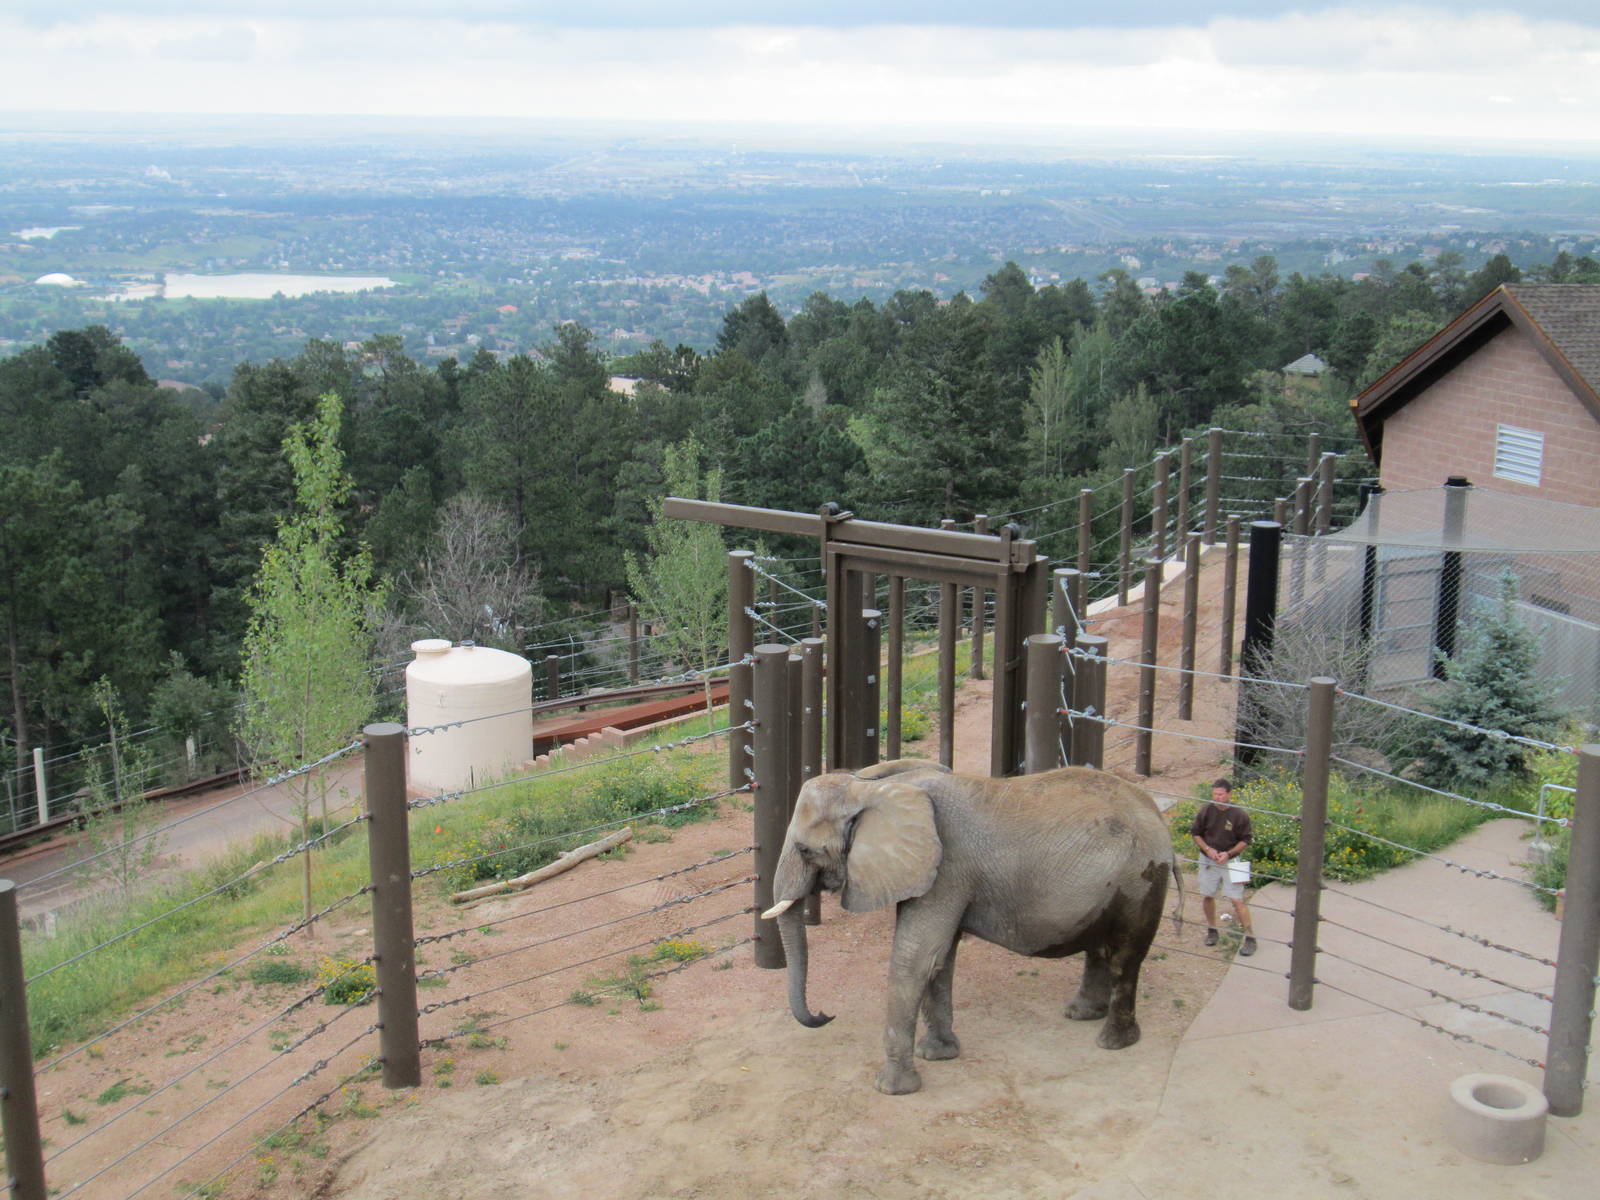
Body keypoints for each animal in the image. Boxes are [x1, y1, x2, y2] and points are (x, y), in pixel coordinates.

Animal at [762, 758, 1178, 1095]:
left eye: (804, 850)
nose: (824, 1015)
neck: (870, 786)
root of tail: (1159, 819)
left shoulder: (948, 869)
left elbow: (916, 959)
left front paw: (892, 1088)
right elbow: (940, 957)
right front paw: (939, 1054)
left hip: (1141, 878)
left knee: (1125, 955)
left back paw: (1113, 1041)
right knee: (1101, 947)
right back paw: (1080, 1014)